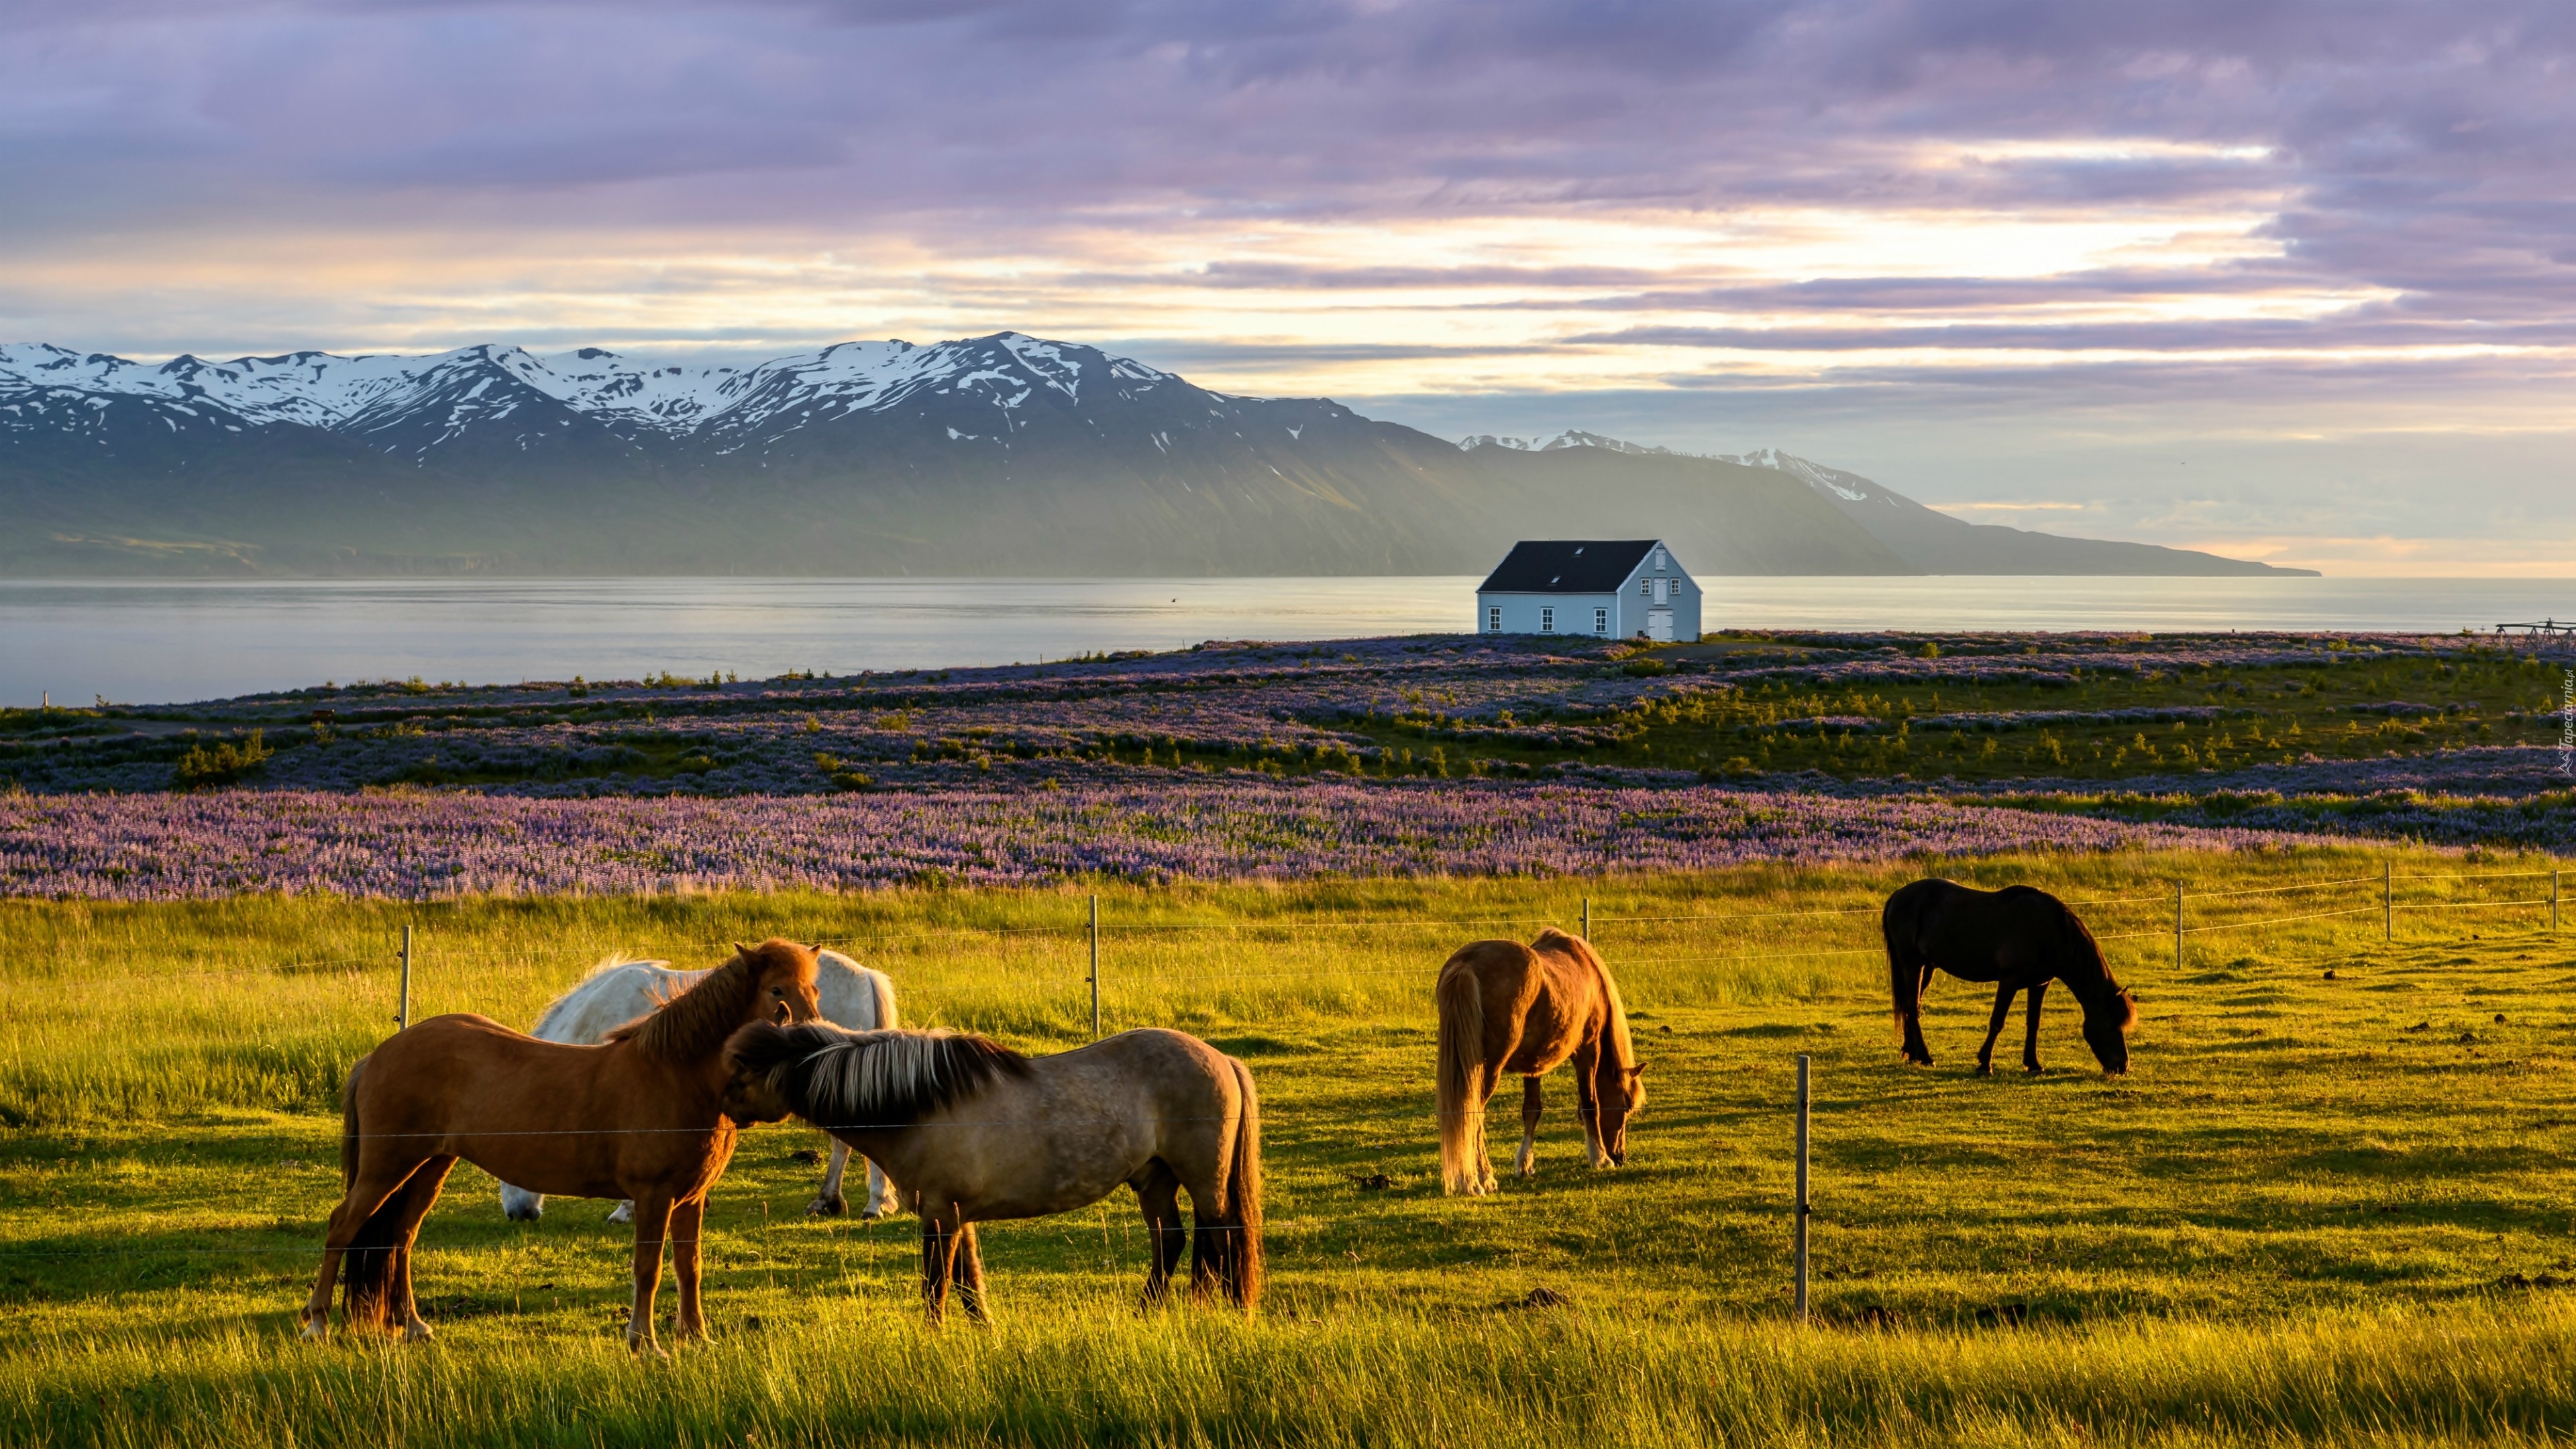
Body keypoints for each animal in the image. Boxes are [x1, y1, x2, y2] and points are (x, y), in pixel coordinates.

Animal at [300, 928, 824, 1350]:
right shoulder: (653, 1196)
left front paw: (696, 1336)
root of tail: (380, 1054)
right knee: (342, 1227)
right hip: (386, 1167)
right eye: (776, 990)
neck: (675, 1074)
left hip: (429, 1167)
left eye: (815, 989)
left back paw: (412, 1326)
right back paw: (317, 1323)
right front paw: (644, 1342)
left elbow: (688, 1267)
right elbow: (649, 1269)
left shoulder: (691, 1198)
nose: (811, 1044)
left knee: (401, 1239)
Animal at [726, 1016, 1256, 1320]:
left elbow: (936, 1286)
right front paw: (986, 1331)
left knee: (1224, 1238)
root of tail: (1222, 1059)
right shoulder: (956, 1215)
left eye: (739, 1074)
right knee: (1172, 1241)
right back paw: (1146, 1313)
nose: (723, 1112)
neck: (920, 1102)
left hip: (1203, 1180)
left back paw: (1234, 1313)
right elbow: (968, 1282)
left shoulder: (941, 1214)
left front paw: (933, 1338)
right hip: (1154, 1178)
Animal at [1432, 928, 1648, 1191]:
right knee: (1474, 1114)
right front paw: (1599, 1157)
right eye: (1627, 1105)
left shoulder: (1533, 1066)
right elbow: (1591, 1104)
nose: (1619, 1156)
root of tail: (1466, 963)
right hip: (1487, 1070)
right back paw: (1481, 1179)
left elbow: (1532, 1110)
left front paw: (1525, 1164)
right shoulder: (1588, 1051)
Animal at [1885, 866, 2143, 1072]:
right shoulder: (2009, 982)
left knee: (1911, 1005)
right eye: (2110, 1024)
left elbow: (2033, 1023)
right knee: (1912, 1007)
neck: (2048, 931)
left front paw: (2033, 1064)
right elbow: (1997, 1021)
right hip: (1912, 964)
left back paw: (1912, 1053)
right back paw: (1926, 1057)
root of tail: (1898, 895)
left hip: (1927, 967)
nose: (2122, 1067)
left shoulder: (2039, 984)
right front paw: (1984, 1064)